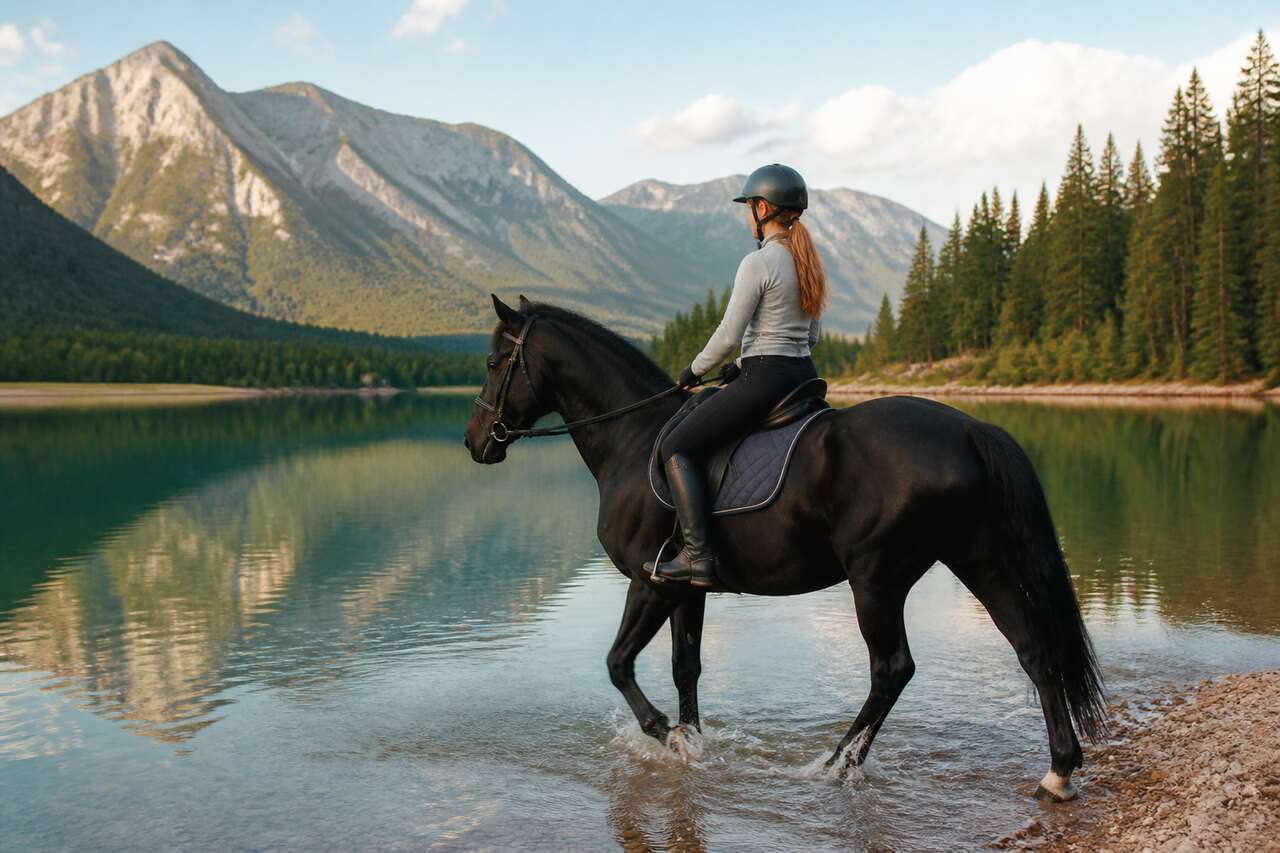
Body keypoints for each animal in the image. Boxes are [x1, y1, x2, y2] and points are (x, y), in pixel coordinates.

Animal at [463, 295, 1106, 802]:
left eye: (494, 362)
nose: (475, 443)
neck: (633, 438)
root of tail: (970, 428)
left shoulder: (649, 581)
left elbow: (619, 664)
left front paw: (667, 735)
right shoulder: (686, 588)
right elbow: (686, 667)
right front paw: (694, 742)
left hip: (877, 577)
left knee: (892, 669)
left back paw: (834, 765)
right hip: (980, 560)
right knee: (1033, 649)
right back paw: (1059, 772)